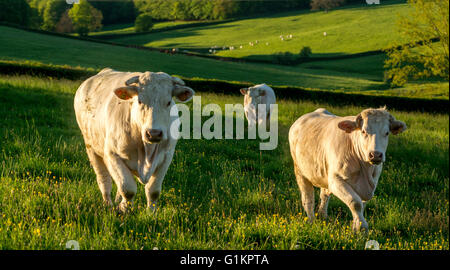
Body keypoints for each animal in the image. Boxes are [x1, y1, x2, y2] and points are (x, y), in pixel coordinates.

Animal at [73, 68, 193, 213]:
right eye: (140, 101)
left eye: (168, 102)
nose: (154, 133)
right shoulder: (112, 155)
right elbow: (128, 189)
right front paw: (125, 210)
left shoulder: (166, 157)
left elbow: (153, 191)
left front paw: (150, 213)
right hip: (91, 148)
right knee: (104, 179)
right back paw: (108, 204)